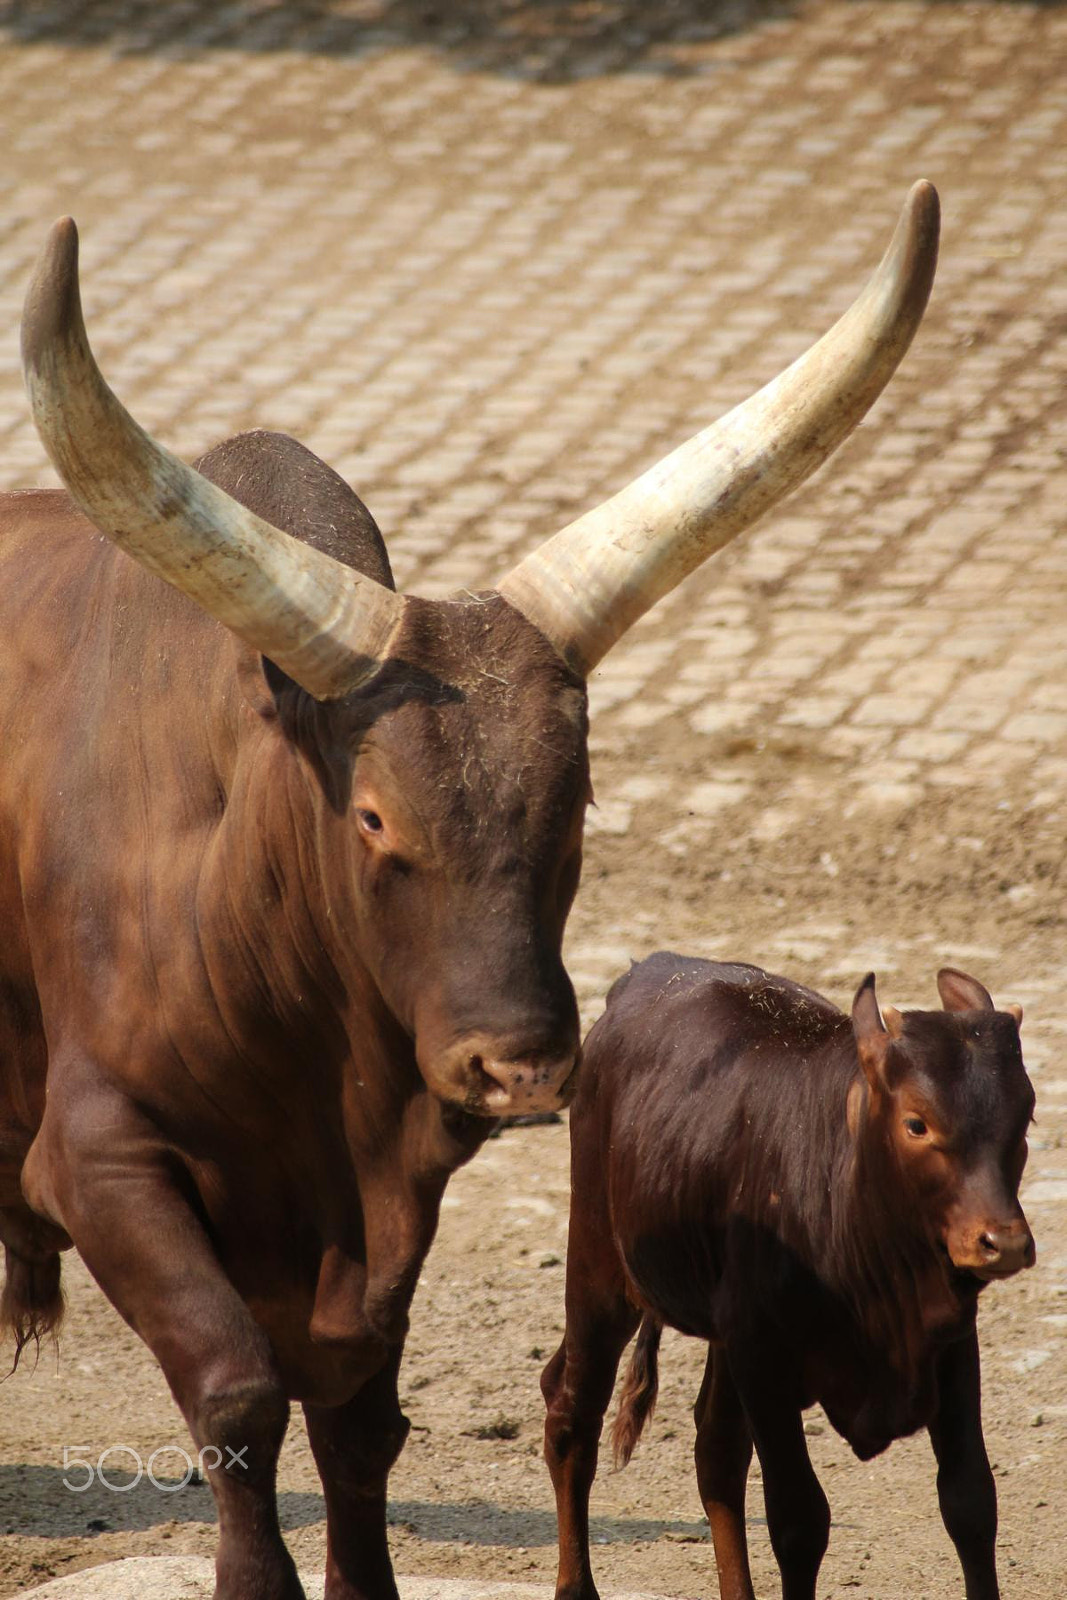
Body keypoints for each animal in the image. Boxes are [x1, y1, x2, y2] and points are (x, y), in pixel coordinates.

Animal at [0, 181, 934, 1593]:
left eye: (578, 799)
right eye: (375, 813)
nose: (525, 1065)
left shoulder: (386, 1200)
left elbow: (358, 1422)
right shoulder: (98, 1155)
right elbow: (236, 1392)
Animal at [543, 953, 1036, 1593]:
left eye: (1024, 1116)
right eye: (917, 1123)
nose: (1003, 1242)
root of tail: (649, 971)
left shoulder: (951, 1346)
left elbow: (970, 1501)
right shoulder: (764, 1358)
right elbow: (799, 1520)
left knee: (716, 1453)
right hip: (599, 1269)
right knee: (571, 1418)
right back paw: (575, 1583)